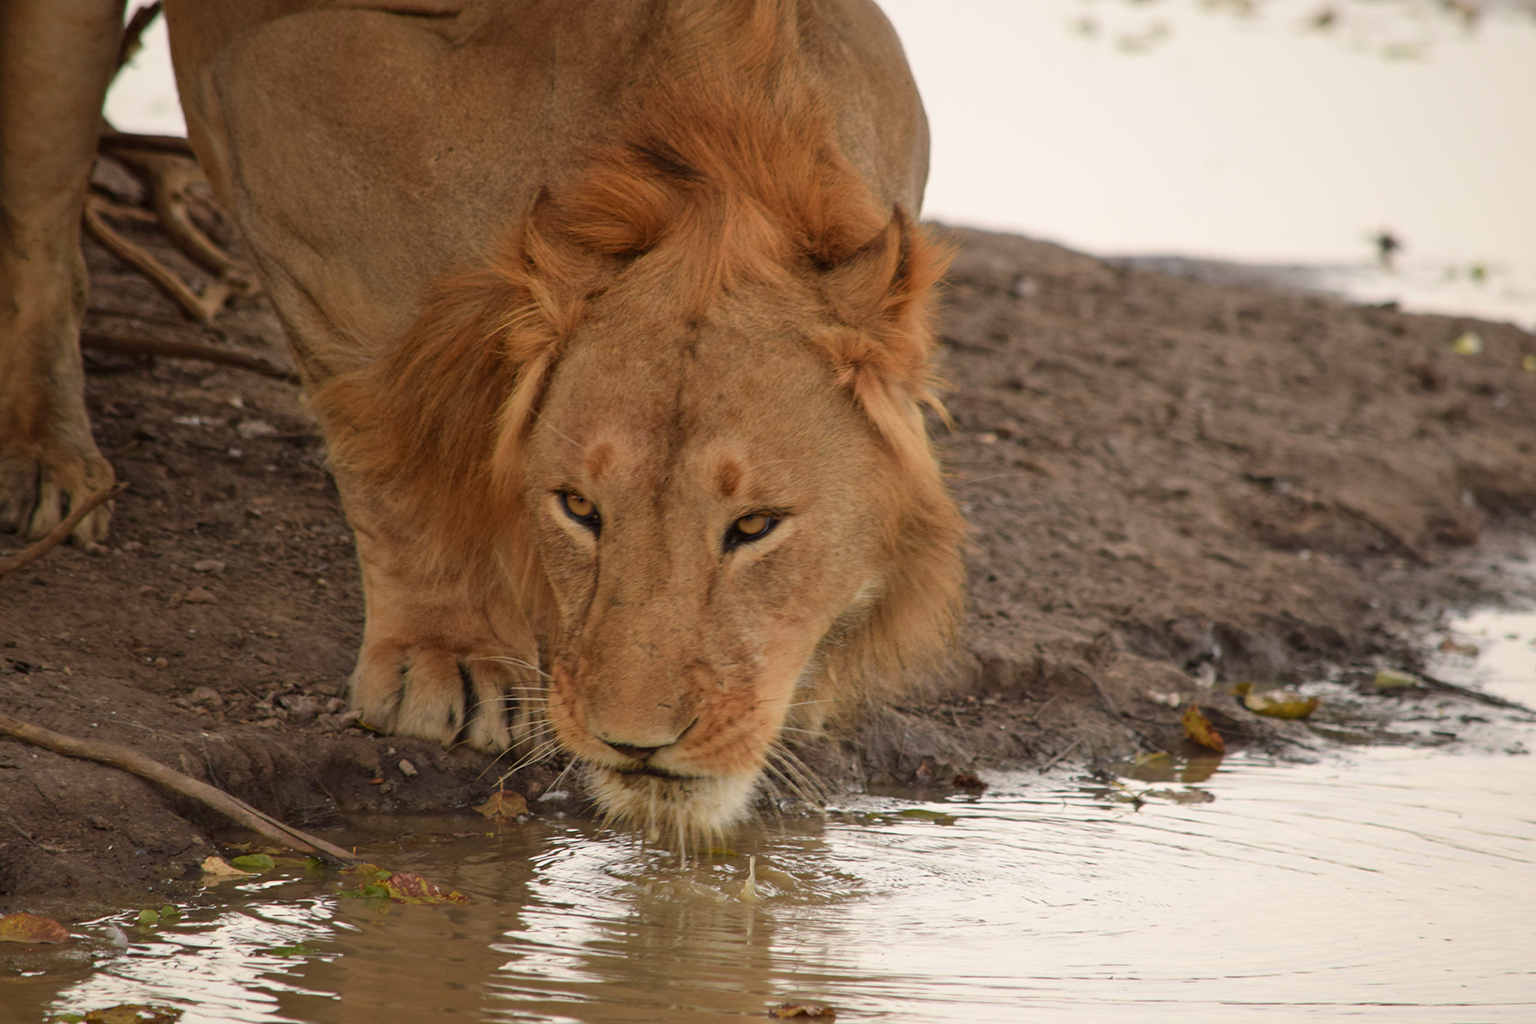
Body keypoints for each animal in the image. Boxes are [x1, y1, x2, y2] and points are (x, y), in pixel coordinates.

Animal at [0, 0, 958, 841]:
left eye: (755, 526)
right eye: (579, 510)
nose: (634, 744)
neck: (712, 147)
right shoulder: (283, 101)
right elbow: (387, 436)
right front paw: (443, 659)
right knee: (40, 229)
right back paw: (44, 464)